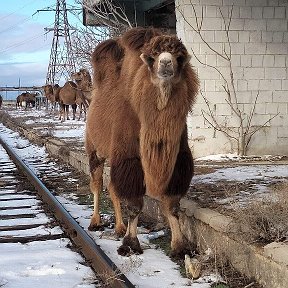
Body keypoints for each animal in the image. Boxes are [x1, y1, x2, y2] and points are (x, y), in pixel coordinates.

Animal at [84, 28, 199, 258]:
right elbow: (135, 204)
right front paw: (130, 244)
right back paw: (95, 222)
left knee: (112, 187)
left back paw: (119, 227)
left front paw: (180, 246)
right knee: (97, 183)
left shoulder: (177, 160)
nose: (166, 63)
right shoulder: (130, 157)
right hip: (95, 149)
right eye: (153, 57)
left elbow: (172, 205)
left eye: (179, 57)